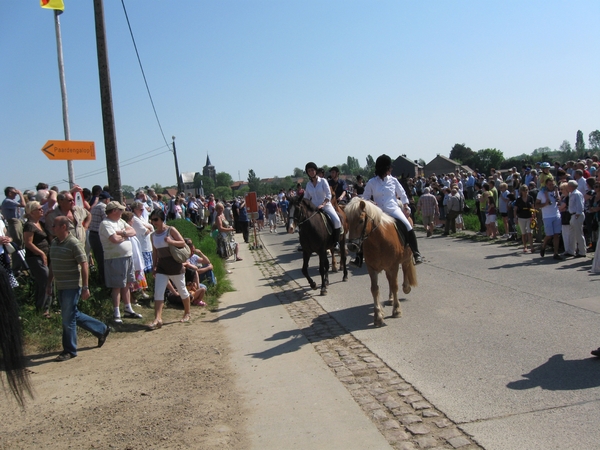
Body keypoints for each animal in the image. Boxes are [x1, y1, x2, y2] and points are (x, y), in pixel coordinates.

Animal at [342, 197, 418, 326]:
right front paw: (378, 316)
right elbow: (375, 289)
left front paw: (397, 310)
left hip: (405, 258)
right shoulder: (371, 268)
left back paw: (406, 287)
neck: (379, 240)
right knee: (390, 280)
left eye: (361, 221)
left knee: (405, 268)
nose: (352, 246)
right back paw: (391, 299)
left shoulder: (393, 266)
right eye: (348, 221)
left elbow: (395, 286)